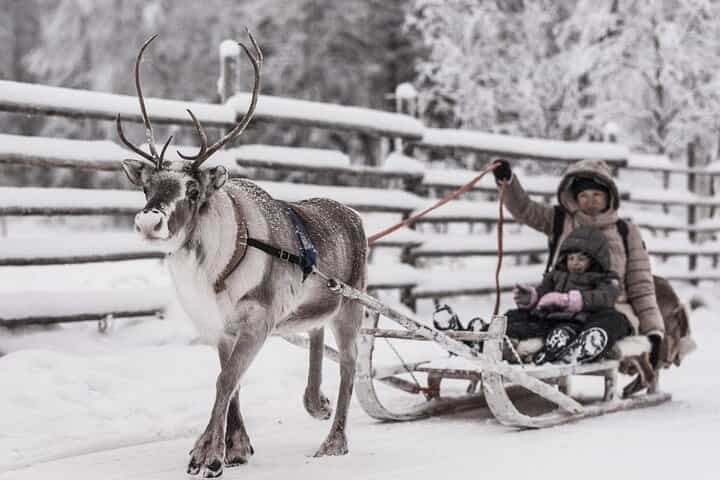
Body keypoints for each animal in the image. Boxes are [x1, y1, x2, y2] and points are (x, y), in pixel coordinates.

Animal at [117, 32, 367, 478]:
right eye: (147, 188)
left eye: (193, 190)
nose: (148, 221)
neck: (213, 270)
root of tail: (354, 215)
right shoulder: (220, 328)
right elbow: (229, 381)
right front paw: (235, 447)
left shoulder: (258, 321)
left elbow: (225, 381)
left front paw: (208, 455)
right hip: (316, 302)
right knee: (316, 331)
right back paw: (315, 402)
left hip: (351, 305)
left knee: (350, 363)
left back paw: (334, 440)